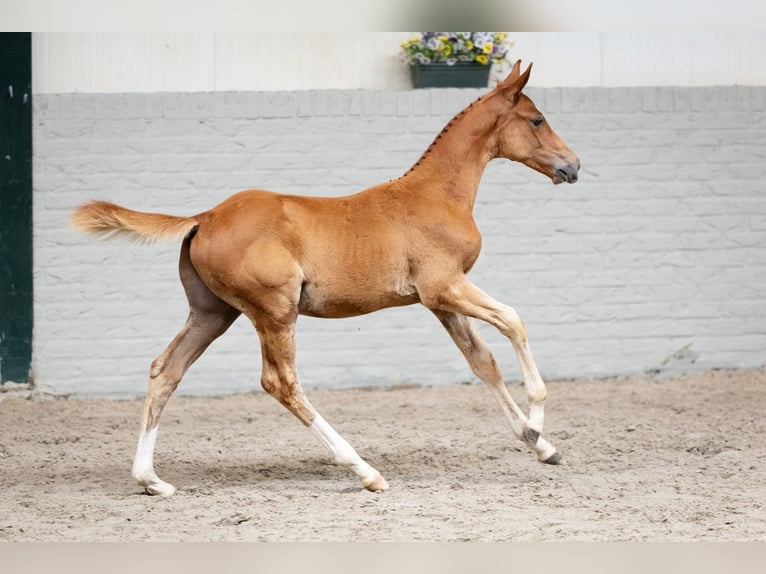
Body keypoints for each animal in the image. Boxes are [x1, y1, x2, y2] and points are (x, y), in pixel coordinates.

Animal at [70, 61, 580, 496]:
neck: (437, 195)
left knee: (166, 370)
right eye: (537, 120)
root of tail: (205, 217)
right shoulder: (445, 287)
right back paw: (365, 471)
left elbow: (483, 362)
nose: (572, 165)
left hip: (213, 314)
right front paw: (537, 420)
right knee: (281, 383)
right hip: (274, 312)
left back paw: (151, 480)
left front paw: (541, 445)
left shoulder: (438, 301)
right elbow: (513, 321)